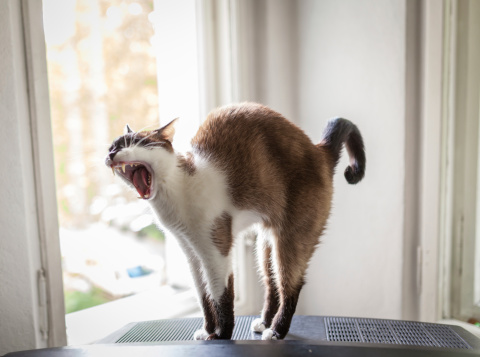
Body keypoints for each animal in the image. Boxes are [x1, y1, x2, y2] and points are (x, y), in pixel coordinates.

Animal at [105, 102, 366, 340]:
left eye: (134, 143)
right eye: (112, 146)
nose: (110, 154)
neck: (172, 194)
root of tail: (319, 149)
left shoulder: (216, 252)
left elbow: (221, 296)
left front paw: (222, 336)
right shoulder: (192, 254)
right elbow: (204, 297)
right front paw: (207, 331)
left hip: (289, 241)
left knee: (291, 285)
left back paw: (276, 331)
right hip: (265, 245)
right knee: (272, 285)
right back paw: (263, 323)